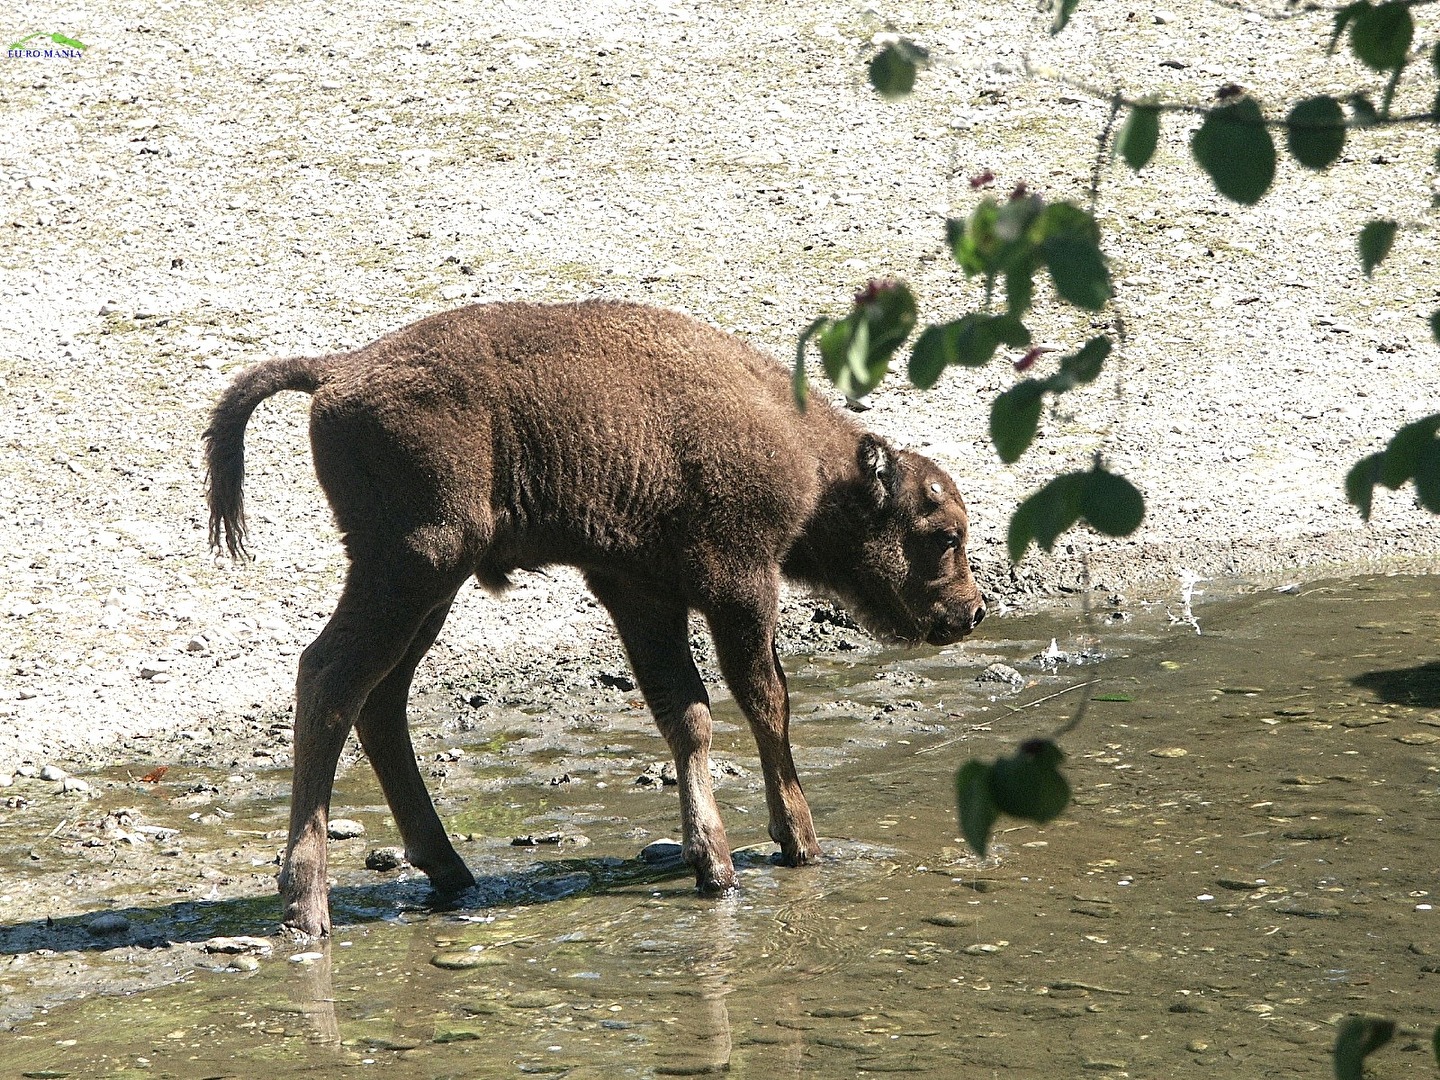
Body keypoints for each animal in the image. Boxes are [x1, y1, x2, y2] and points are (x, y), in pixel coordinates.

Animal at [203, 302, 984, 938]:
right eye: (942, 534)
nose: (972, 610)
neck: (816, 465)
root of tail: (337, 371)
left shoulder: (640, 595)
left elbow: (686, 713)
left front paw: (715, 862)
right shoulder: (739, 587)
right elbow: (765, 703)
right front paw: (798, 842)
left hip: (431, 586)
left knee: (381, 700)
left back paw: (450, 872)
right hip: (411, 566)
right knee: (330, 678)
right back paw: (307, 905)